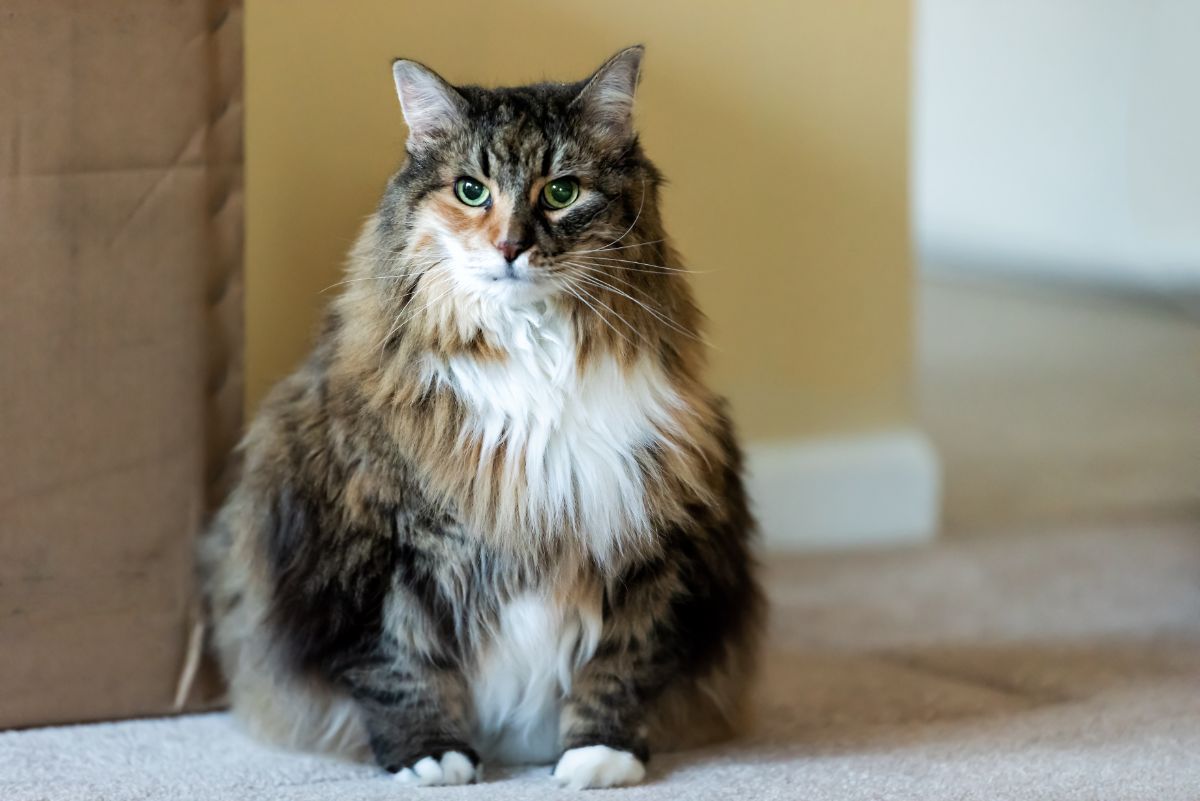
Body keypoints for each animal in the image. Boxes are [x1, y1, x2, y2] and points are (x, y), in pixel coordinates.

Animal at [195, 47, 758, 791]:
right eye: (470, 191)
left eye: (561, 192)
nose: (510, 247)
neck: (533, 358)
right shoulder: (374, 537)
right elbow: (396, 661)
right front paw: (433, 756)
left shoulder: (652, 527)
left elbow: (623, 660)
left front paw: (600, 756)